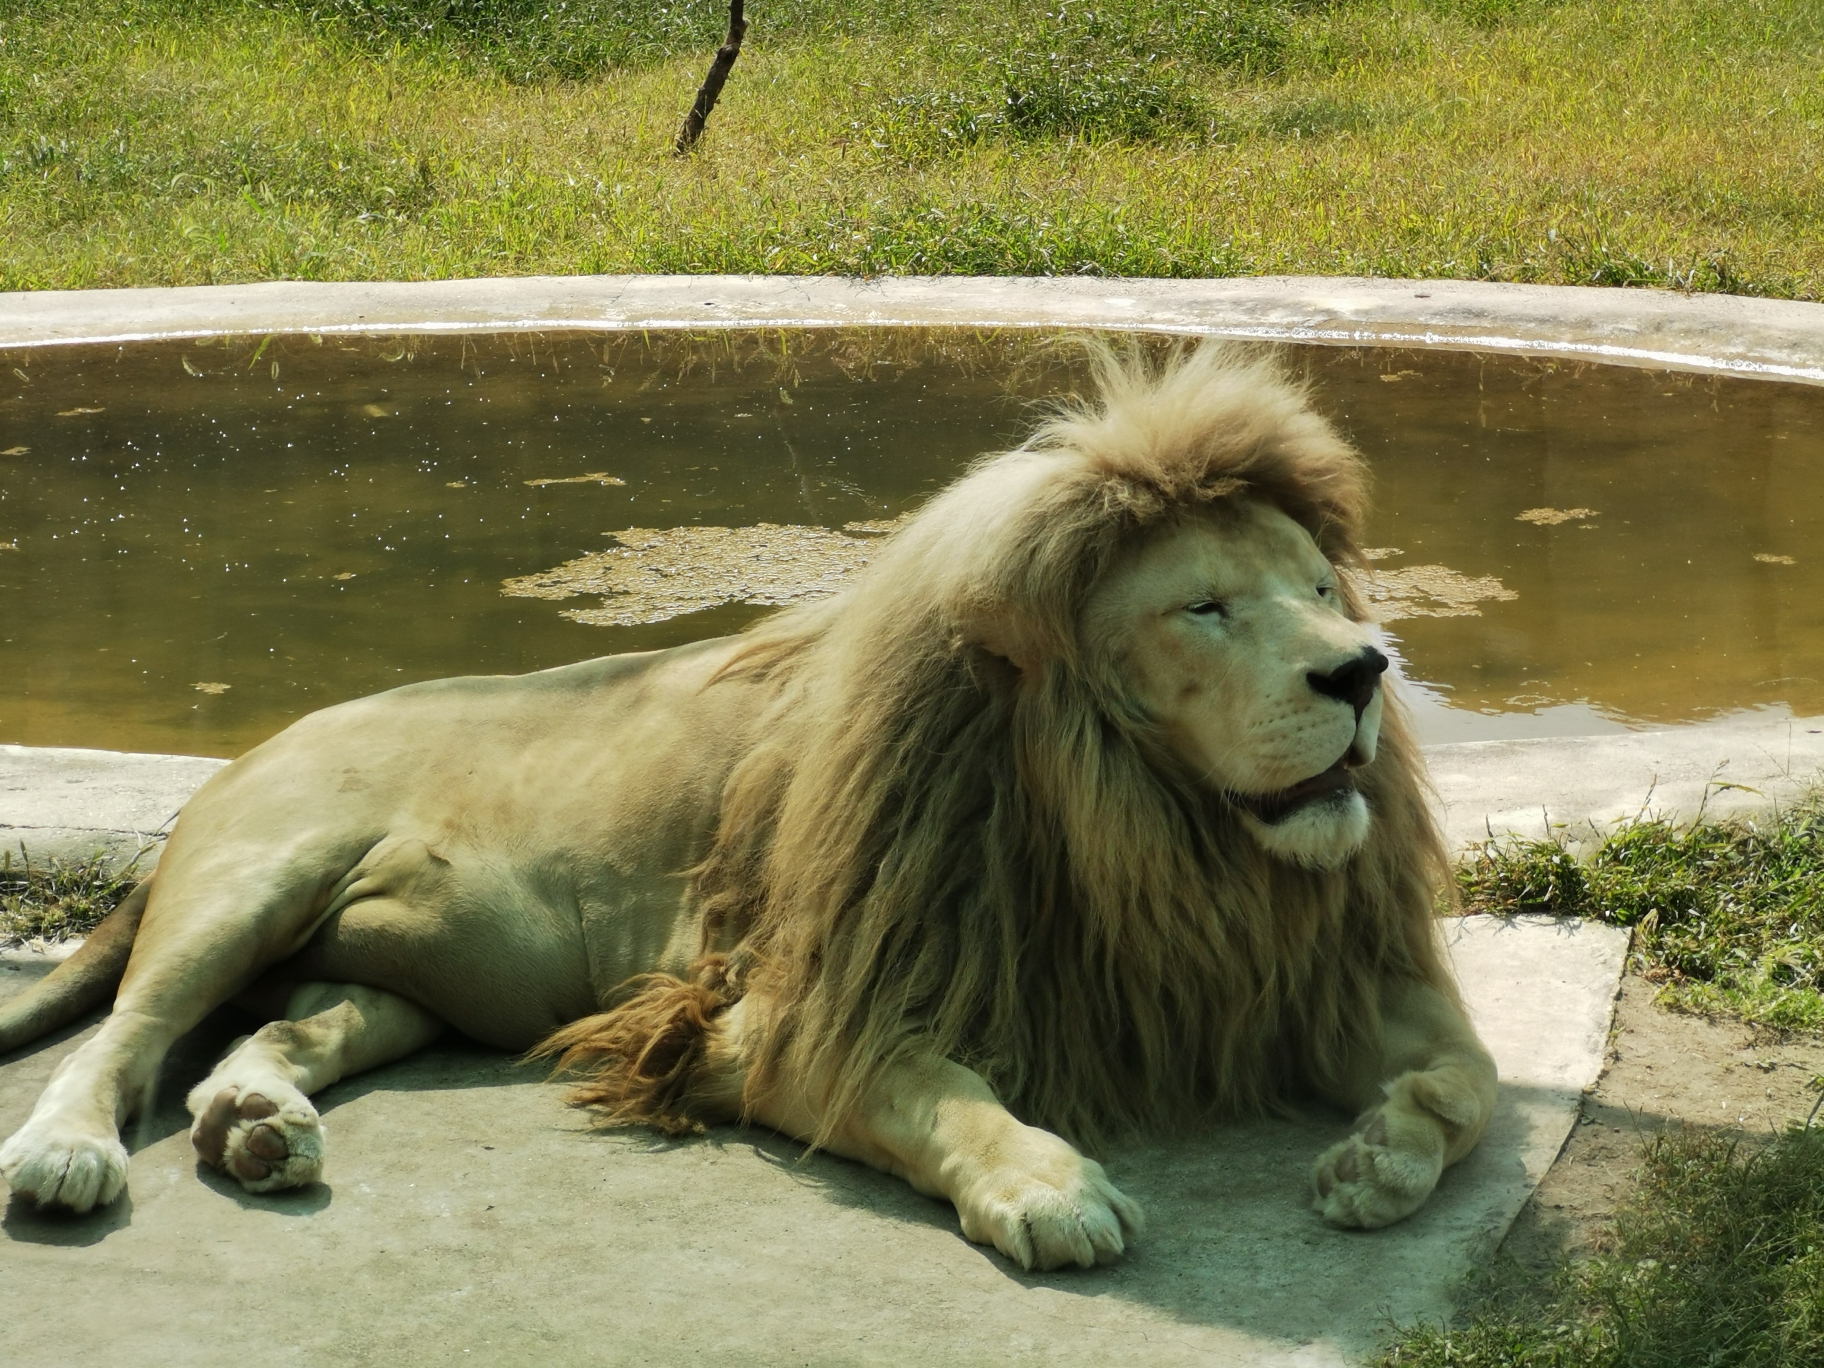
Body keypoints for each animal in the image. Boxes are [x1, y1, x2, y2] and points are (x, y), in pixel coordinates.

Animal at [0, 344, 1495, 1276]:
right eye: (1207, 608)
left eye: (1319, 588)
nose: (1363, 671)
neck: (1158, 839)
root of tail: (250, 745)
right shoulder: (799, 1018)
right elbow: (939, 1092)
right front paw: (1048, 1185)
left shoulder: (1286, 975)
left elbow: (1470, 1080)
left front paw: (1378, 1159)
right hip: (248, 885)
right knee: (126, 1040)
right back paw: (66, 1156)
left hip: (403, 982)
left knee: (281, 1029)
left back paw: (256, 1123)